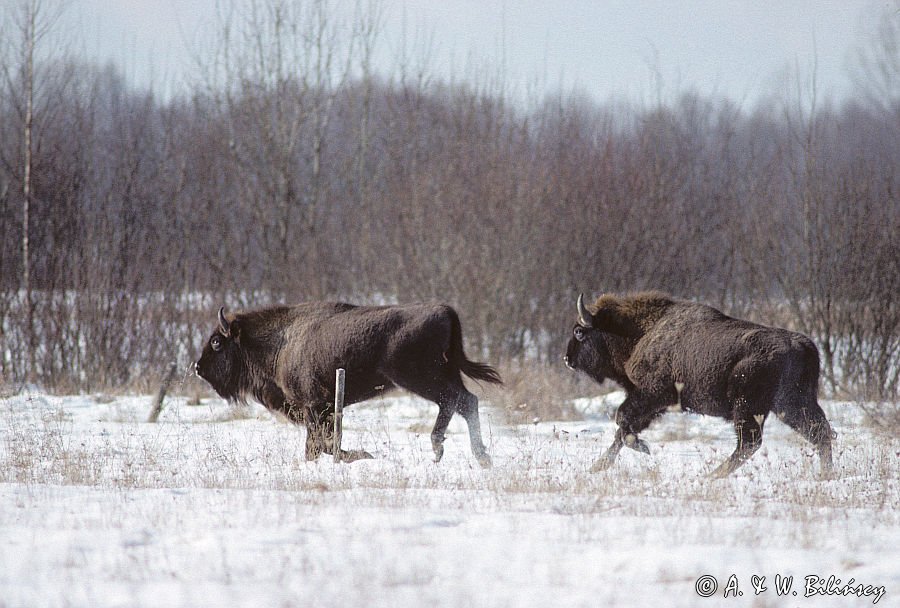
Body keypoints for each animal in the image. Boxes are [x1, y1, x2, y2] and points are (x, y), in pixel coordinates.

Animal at [195, 302, 500, 466]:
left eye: (216, 342)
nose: (198, 368)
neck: (282, 340)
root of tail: (444, 310)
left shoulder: (314, 406)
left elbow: (321, 445)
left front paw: (365, 455)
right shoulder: (324, 409)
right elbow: (320, 445)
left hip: (420, 378)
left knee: (453, 401)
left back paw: (442, 450)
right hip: (443, 374)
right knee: (466, 401)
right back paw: (479, 457)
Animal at [564, 292, 836, 478]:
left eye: (579, 332)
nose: (567, 359)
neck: (642, 331)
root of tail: (802, 345)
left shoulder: (653, 395)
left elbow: (623, 421)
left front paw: (644, 448)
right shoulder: (652, 404)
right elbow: (623, 430)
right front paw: (597, 467)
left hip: (749, 407)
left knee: (750, 443)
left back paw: (712, 475)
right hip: (791, 406)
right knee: (820, 432)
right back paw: (825, 476)